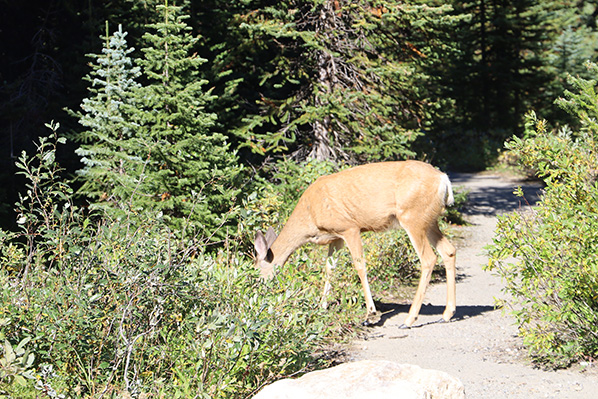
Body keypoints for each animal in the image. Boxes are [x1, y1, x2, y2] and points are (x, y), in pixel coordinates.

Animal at [254, 160, 460, 328]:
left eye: (256, 273)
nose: (260, 294)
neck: (310, 215)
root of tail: (443, 179)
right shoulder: (335, 236)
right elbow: (330, 268)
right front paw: (321, 306)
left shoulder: (350, 227)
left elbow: (360, 265)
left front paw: (371, 314)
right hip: (429, 220)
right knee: (448, 251)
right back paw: (446, 314)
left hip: (412, 217)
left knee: (428, 258)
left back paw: (409, 319)